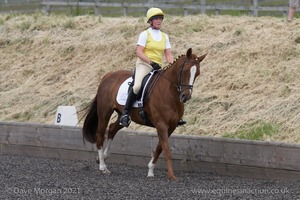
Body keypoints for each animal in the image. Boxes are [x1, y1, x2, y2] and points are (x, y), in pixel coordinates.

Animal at [82, 48, 206, 180]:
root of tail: (108, 75)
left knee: (112, 129)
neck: (169, 93)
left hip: (123, 115)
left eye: (197, 74)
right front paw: (171, 176)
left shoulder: (171, 126)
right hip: (104, 112)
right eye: (186, 71)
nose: (185, 96)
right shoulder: (161, 124)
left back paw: (104, 157)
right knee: (100, 134)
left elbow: (159, 148)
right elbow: (166, 149)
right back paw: (103, 166)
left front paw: (150, 171)